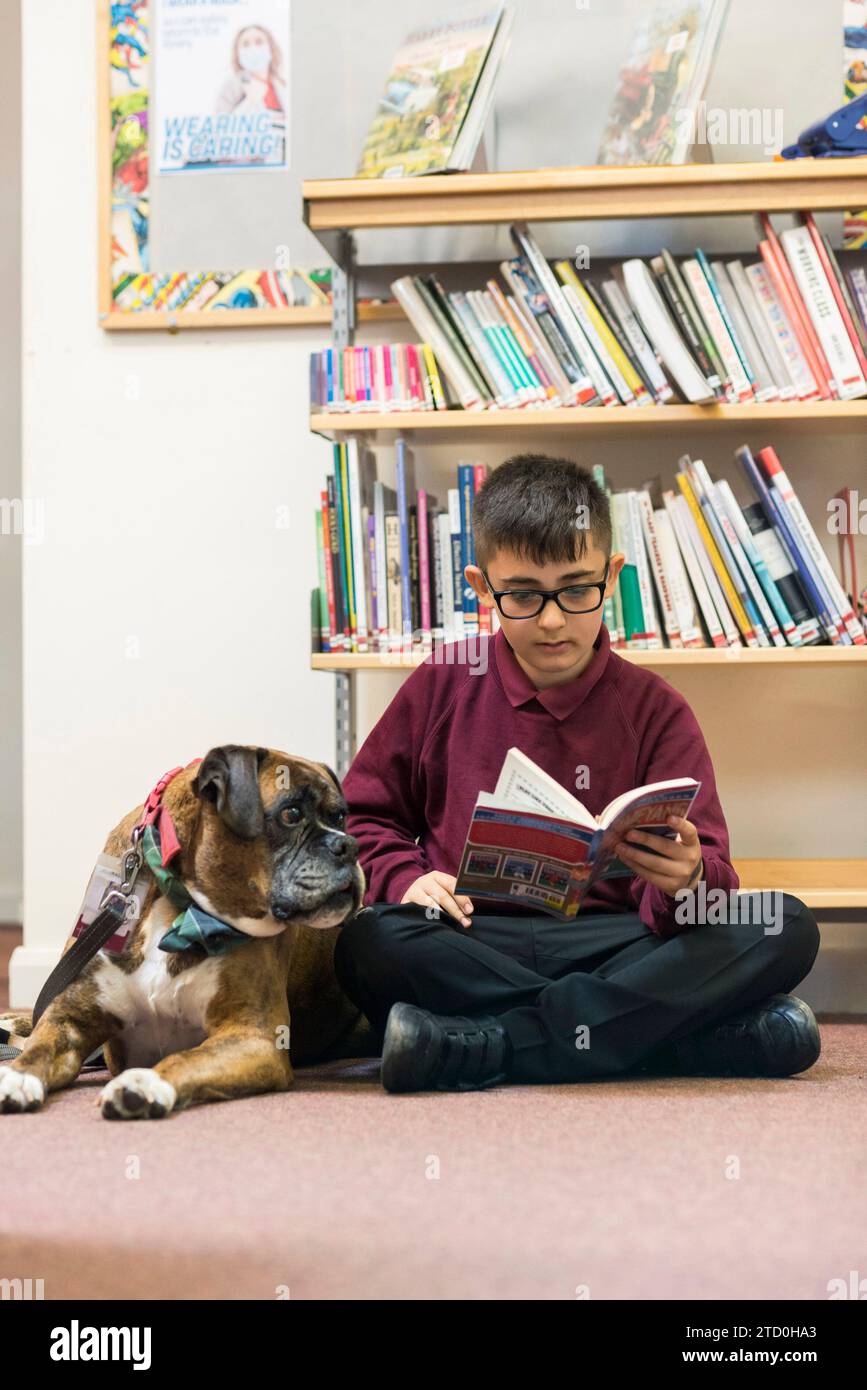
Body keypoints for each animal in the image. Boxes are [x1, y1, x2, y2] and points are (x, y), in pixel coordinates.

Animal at [0, 750, 369, 1117]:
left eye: (340, 816)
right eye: (291, 814)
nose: (349, 846)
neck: (178, 904)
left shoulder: (255, 1036)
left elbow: (189, 1057)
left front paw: (144, 1083)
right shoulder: (70, 1021)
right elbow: (39, 1048)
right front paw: (16, 1075)